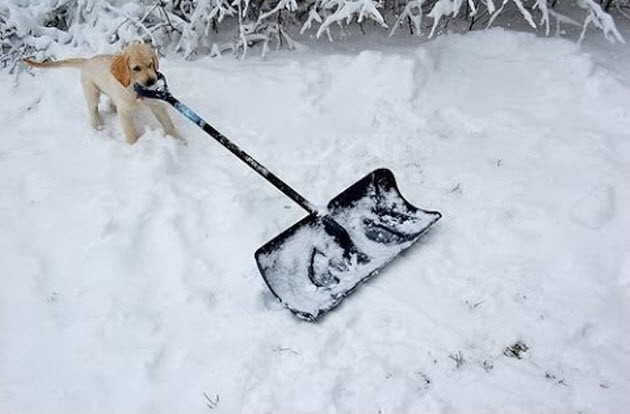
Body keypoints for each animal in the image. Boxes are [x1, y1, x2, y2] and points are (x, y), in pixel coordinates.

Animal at [23, 43, 178, 144]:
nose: (152, 81)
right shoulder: (125, 112)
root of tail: (87, 61)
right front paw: (135, 146)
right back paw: (98, 125)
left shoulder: (156, 104)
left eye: (150, 64)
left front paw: (178, 140)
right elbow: (131, 133)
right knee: (93, 110)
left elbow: (168, 124)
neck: (135, 89)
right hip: (91, 93)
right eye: (136, 68)